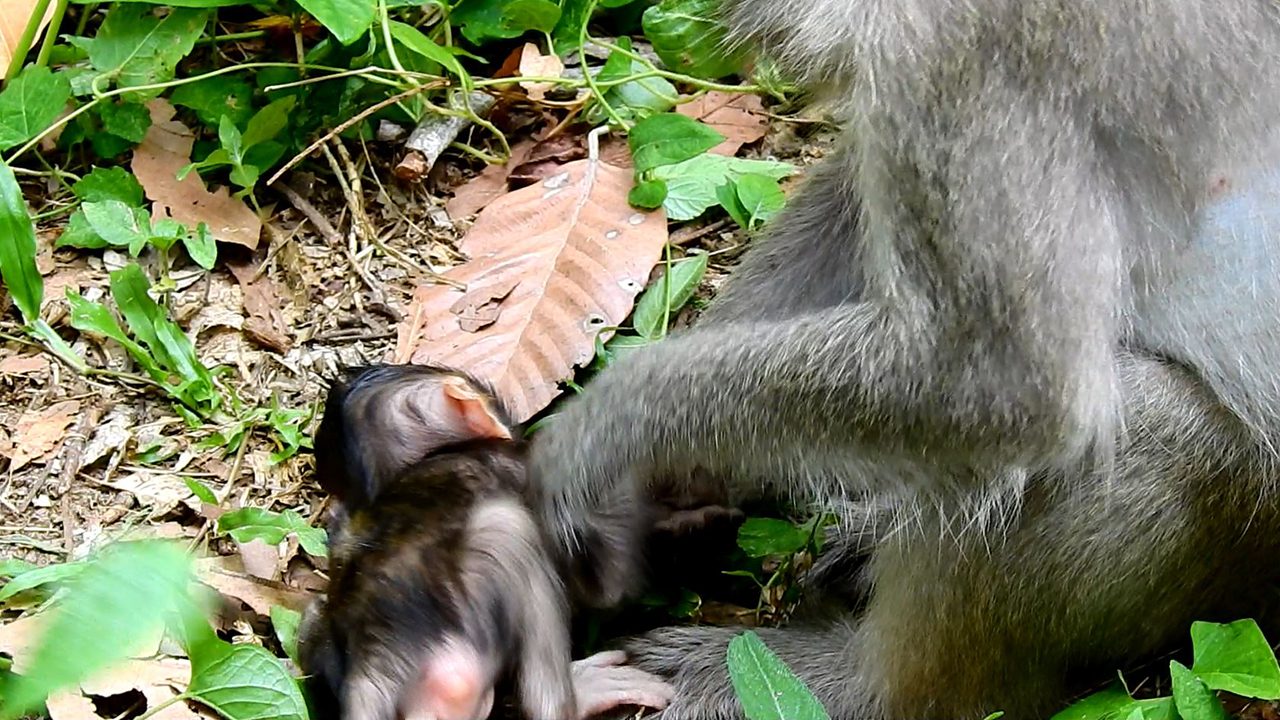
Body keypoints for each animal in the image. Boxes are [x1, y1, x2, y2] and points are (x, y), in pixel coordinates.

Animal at [527, 1, 1280, 717]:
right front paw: (666, 487)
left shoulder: (960, 45)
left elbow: (1004, 385)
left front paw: (600, 442)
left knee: (1109, 430)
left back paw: (866, 688)